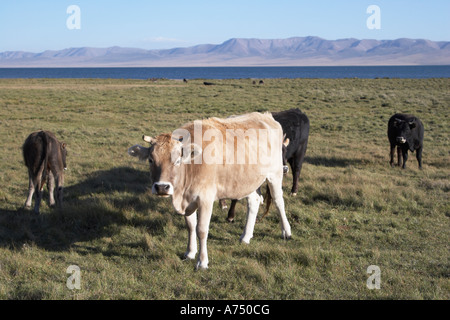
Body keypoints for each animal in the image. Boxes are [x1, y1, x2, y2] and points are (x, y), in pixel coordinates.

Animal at [128, 113, 294, 270]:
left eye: (177, 160)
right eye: (150, 160)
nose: (162, 187)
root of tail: (266, 116)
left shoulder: (205, 199)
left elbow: (201, 230)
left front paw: (202, 262)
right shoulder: (188, 200)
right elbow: (190, 226)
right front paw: (190, 253)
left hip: (275, 173)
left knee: (279, 201)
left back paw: (286, 232)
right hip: (249, 180)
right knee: (254, 202)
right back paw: (246, 236)